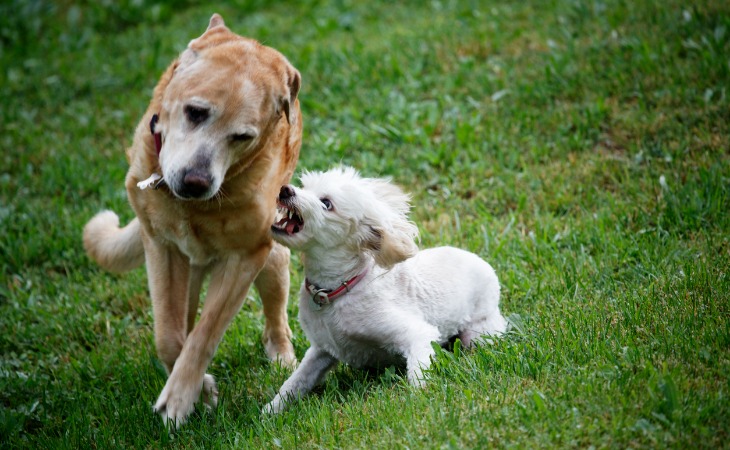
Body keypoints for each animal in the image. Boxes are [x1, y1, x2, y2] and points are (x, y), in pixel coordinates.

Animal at [82, 14, 302, 428]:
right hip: (188, 269)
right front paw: (200, 390)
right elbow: (169, 335)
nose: (195, 182)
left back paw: (282, 356)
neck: (193, 208)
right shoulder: (161, 247)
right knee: (182, 320)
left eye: (242, 136)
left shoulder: (246, 256)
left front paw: (181, 397)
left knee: (275, 312)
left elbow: (206, 332)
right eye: (196, 112)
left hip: (271, 263)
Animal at [264, 167, 506, 414]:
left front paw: (420, 399)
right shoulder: (321, 350)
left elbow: (418, 373)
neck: (338, 290)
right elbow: (295, 382)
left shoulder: (417, 334)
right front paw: (270, 411)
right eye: (305, 186)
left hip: (479, 332)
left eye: (326, 203)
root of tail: (483, 263)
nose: (285, 190)